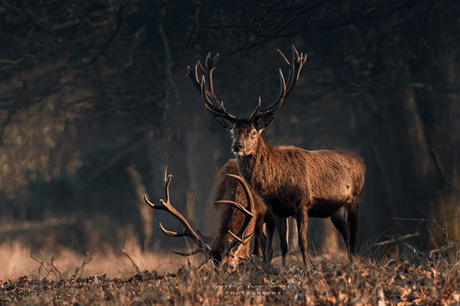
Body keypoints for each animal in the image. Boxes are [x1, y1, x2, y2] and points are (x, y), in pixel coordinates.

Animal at [187, 45, 366, 266]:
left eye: (253, 133)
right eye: (232, 132)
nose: (237, 146)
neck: (278, 185)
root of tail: (361, 161)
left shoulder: (302, 203)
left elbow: (303, 243)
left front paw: (306, 268)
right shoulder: (277, 209)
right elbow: (283, 244)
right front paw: (284, 268)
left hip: (355, 199)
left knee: (354, 236)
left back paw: (353, 264)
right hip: (335, 211)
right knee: (347, 236)